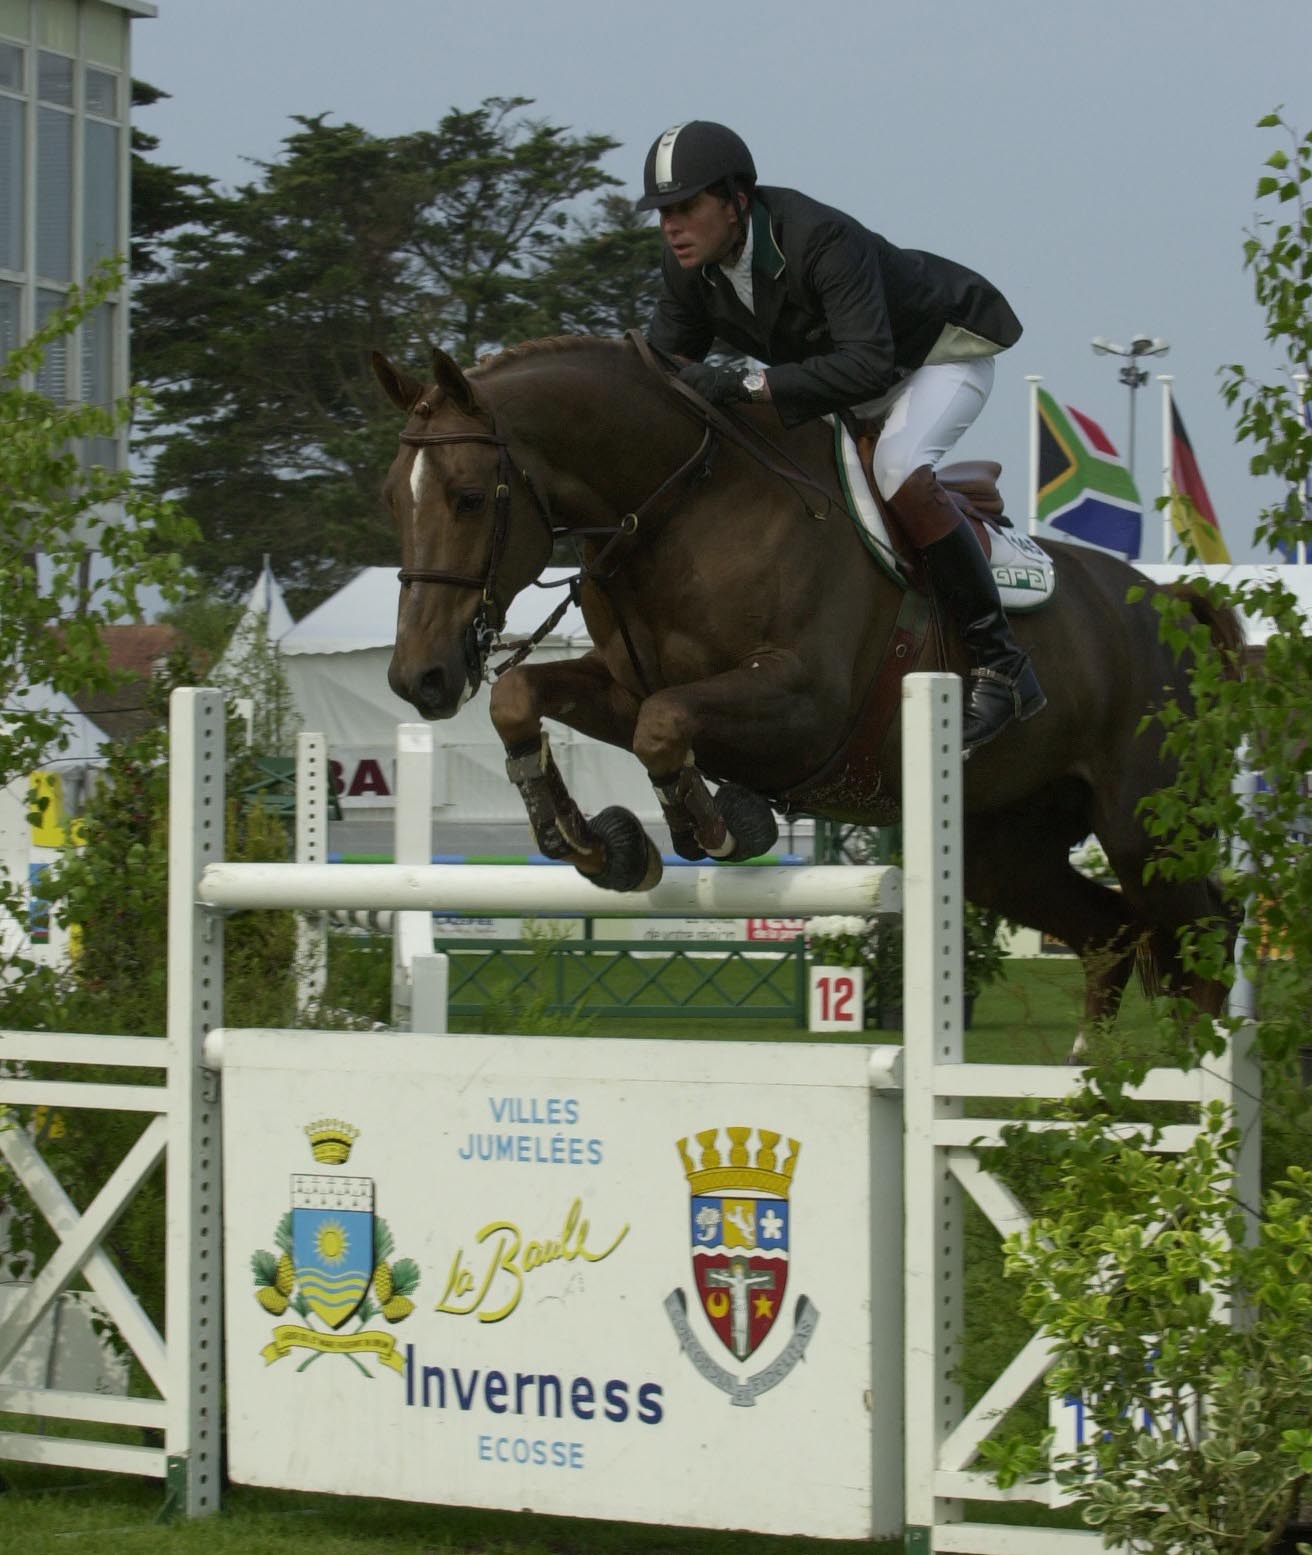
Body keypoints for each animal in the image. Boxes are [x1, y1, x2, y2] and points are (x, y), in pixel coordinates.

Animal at [368, 334, 1237, 1038]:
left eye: (468, 498)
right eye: (392, 499)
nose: (420, 677)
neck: (682, 509)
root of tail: (1174, 606)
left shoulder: (806, 709)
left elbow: (665, 724)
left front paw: (721, 825)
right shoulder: (621, 683)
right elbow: (526, 698)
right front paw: (591, 841)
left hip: (1145, 828)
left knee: (1206, 941)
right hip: (1006, 846)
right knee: (1108, 935)